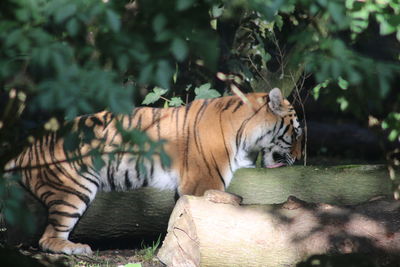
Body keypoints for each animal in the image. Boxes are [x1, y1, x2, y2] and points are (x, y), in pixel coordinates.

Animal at [5, 87, 300, 255]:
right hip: (75, 188)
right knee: (47, 238)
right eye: (296, 133)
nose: (298, 158)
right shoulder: (201, 184)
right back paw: (76, 249)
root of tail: (26, 150)